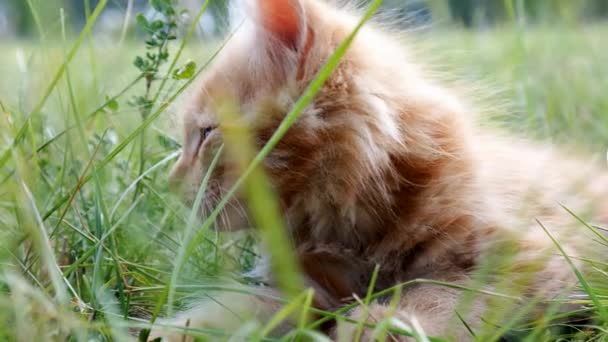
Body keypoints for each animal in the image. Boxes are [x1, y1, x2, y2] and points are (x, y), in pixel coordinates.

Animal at [158, 0, 608, 340]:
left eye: (206, 134)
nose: (172, 184)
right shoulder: (301, 290)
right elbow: (227, 313)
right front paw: (169, 331)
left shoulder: (536, 258)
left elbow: (449, 293)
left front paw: (383, 322)